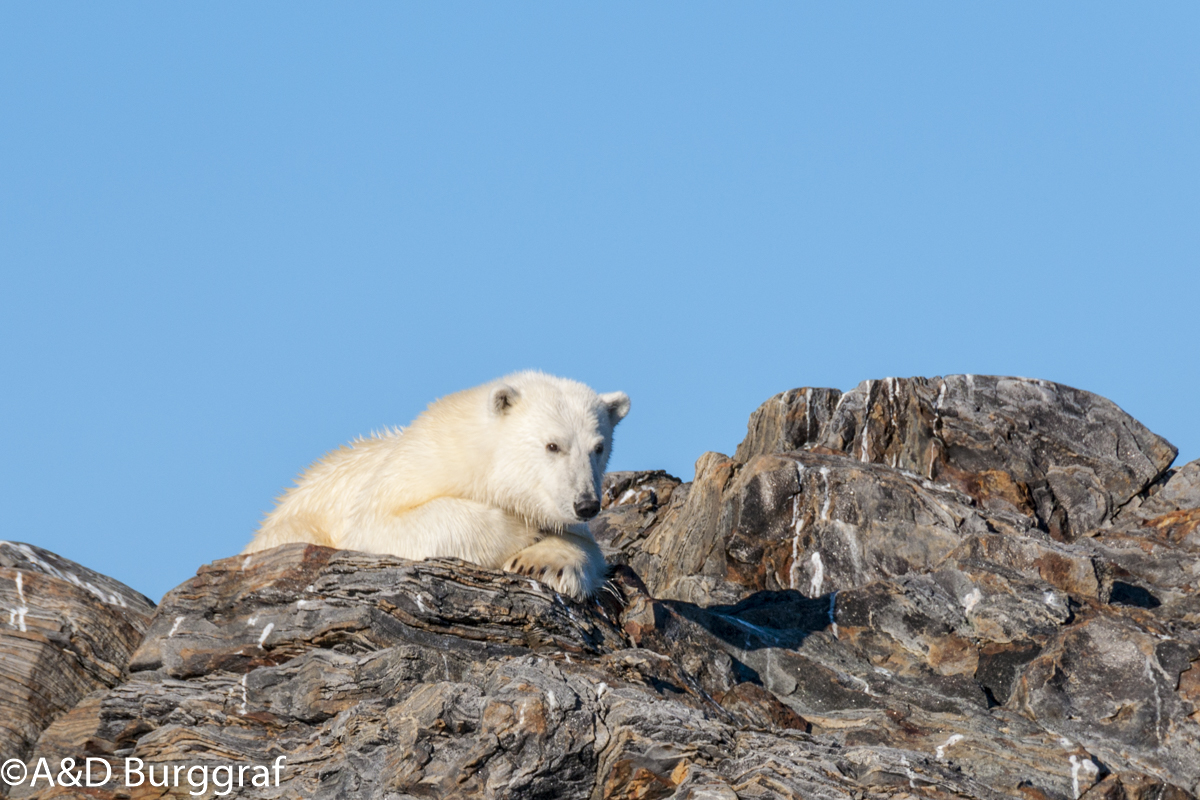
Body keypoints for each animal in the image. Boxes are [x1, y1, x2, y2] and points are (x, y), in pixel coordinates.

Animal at [241, 374, 628, 599]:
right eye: (552, 445)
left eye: (598, 447)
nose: (586, 504)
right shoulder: (406, 472)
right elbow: (384, 526)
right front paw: (521, 531)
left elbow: (584, 545)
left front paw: (543, 564)